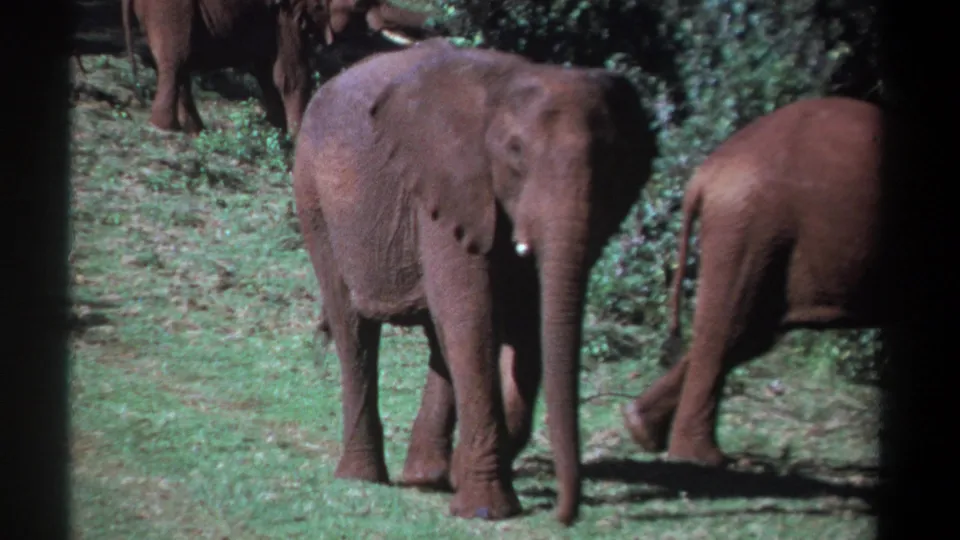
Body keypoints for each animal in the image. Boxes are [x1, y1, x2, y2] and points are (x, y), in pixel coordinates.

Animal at [120, 0, 428, 136]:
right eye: (361, 4)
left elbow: (267, 70)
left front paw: (278, 129)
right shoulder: (287, 12)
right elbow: (291, 73)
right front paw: (295, 135)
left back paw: (195, 130)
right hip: (170, 8)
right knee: (176, 61)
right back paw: (165, 128)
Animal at [293, 38, 657, 524]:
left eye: (612, 161)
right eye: (516, 152)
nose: (565, 515)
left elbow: (522, 327)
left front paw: (467, 479)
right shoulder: (446, 186)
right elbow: (472, 316)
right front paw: (487, 510)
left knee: (435, 336)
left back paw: (426, 477)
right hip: (314, 197)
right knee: (354, 327)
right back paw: (363, 478)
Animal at [621, 96, 891, 467]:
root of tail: (705, 175)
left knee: (748, 334)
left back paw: (642, 431)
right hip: (750, 226)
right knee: (731, 330)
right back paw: (702, 459)